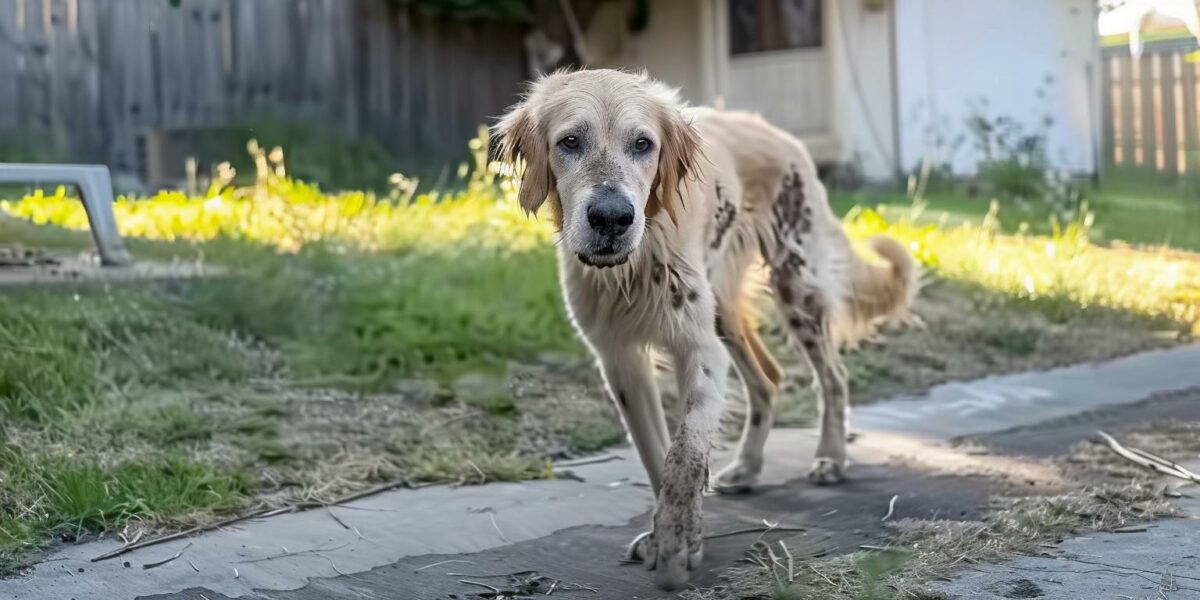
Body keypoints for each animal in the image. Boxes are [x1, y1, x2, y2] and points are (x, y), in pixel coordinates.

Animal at [492, 68, 912, 588]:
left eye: (643, 144)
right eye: (570, 141)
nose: (612, 218)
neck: (636, 264)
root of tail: (783, 136)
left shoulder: (698, 350)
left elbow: (685, 453)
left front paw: (677, 542)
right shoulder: (621, 363)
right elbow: (655, 455)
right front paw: (666, 537)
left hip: (795, 289)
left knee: (832, 376)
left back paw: (831, 458)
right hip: (725, 314)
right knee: (768, 381)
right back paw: (748, 467)